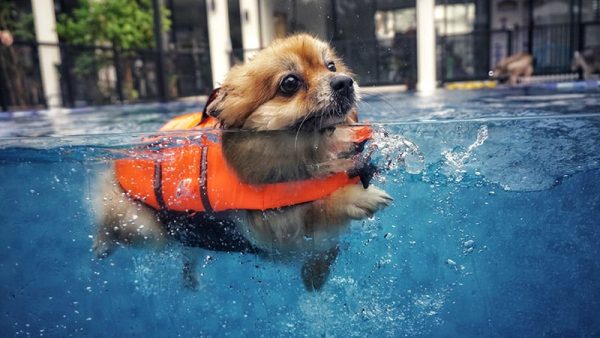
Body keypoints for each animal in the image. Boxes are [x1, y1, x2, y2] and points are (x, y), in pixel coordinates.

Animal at [92, 35, 394, 294]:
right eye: (290, 83)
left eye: (331, 66)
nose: (345, 81)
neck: (313, 154)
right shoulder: (277, 229)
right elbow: (316, 207)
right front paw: (356, 196)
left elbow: (325, 246)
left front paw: (315, 275)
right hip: (141, 225)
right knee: (114, 226)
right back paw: (100, 245)